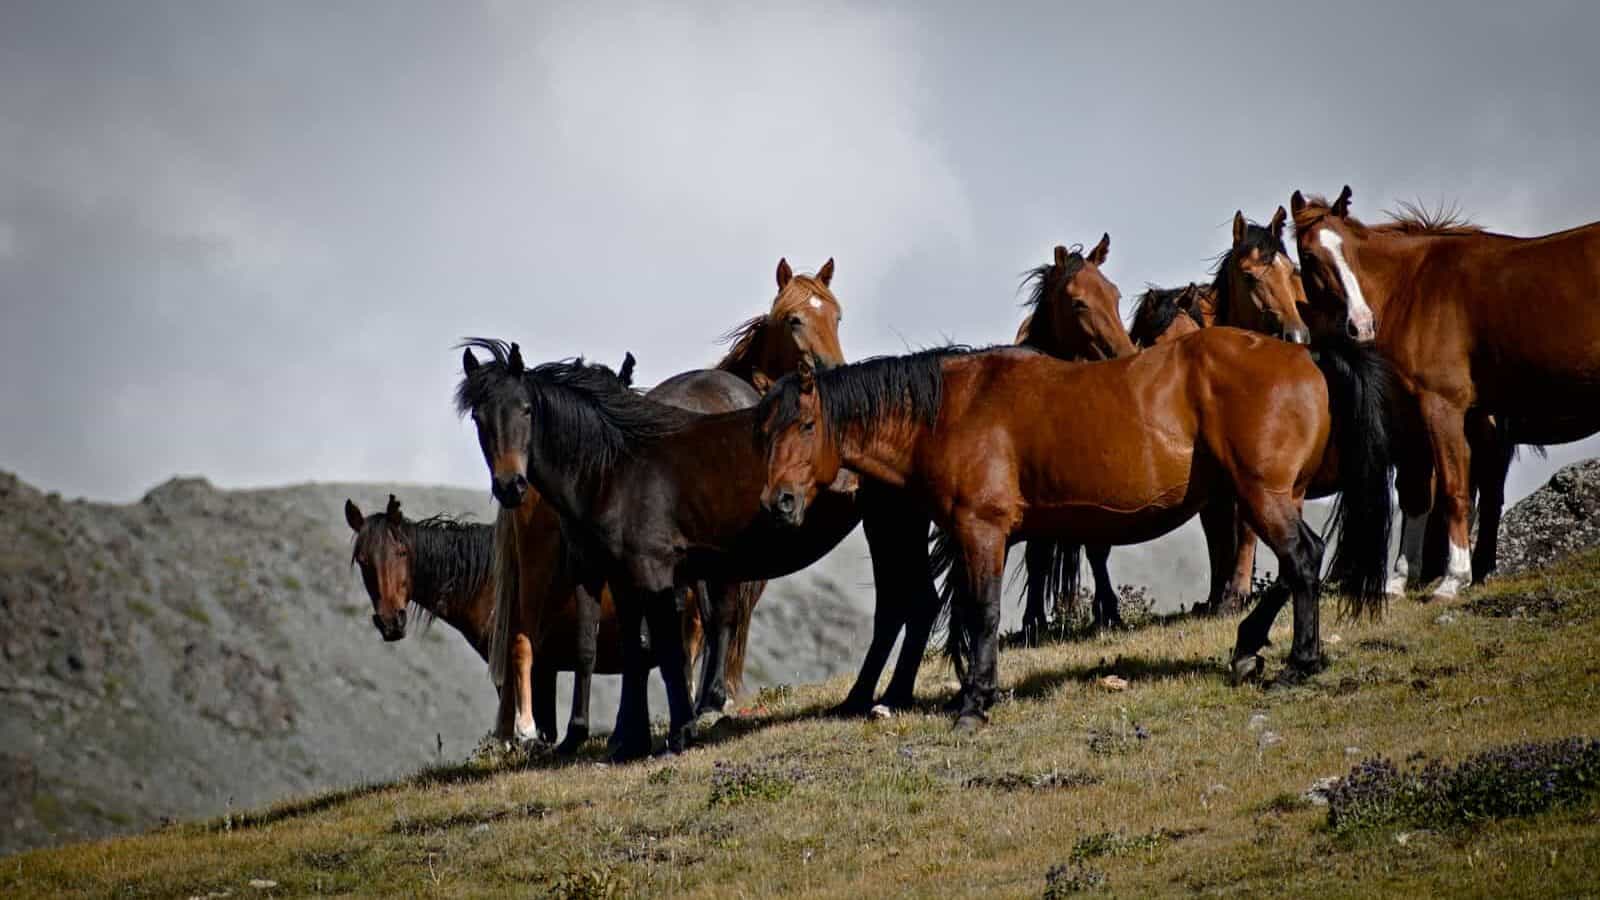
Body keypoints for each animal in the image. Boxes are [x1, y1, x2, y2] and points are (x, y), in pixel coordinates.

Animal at [757, 328, 1394, 731]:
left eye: (806, 425)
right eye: (765, 432)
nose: (778, 502)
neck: (952, 410)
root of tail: (1306, 354)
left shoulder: (982, 531)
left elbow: (982, 612)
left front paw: (974, 704)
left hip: (1264, 496)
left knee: (1303, 560)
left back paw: (1298, 664)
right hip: (1272, 496)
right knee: (1299, 564)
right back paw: (1248, 648)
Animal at [1289, 186, 1598, 598]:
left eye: (1350, 251)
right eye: (1309, 256)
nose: (1362, 324)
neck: (1413, 289)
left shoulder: (1443, 407)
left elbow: (1454, 490)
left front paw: (1454, 578)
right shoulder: (1416, 417)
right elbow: (1418, 497)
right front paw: (1401, 578)